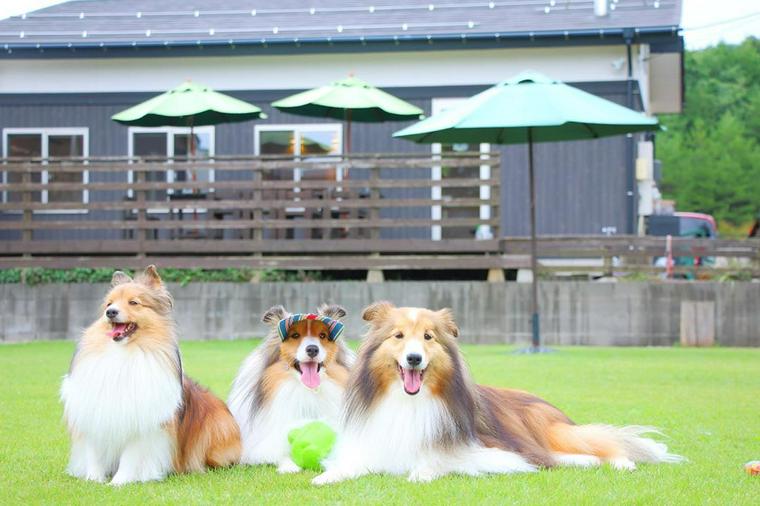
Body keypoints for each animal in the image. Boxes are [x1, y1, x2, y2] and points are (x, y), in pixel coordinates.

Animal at [61, 266, 240, 484]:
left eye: (133, 302)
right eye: (109, 304)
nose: (110, 312)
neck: (122, 354)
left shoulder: (142, 423)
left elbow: (130, 457)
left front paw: (119, 482)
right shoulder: (93, 415)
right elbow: (94, 454)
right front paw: (93, 479)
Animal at [312, 302, 680, 484]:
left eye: (429, 337)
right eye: (398, 336)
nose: (414, 358)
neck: (408, 401)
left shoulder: (493, 452)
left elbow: (439, 461)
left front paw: (422, 472)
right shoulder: (371, 444)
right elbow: (351, 465)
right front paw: (328, 477)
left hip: (553, 432)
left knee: (604, 443)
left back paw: (623, 463)